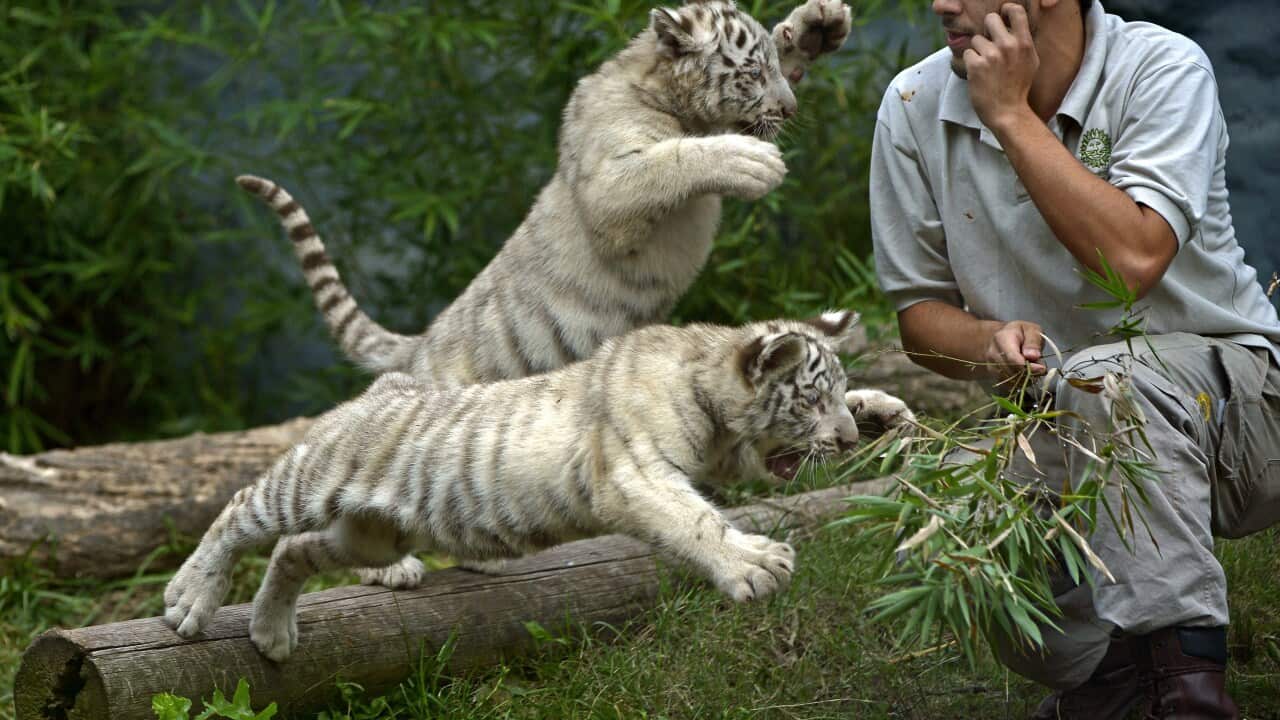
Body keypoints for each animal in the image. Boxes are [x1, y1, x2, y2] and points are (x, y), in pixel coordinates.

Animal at [162, 310, 915, 661]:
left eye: (835, 397)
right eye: (810, 400)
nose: (844, 438)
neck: (712, 402)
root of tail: (387, 386)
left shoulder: (726, 460)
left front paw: (884, 413)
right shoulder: (636, 474)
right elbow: (695, 520)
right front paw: (755, 566)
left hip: (372, 533)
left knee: (295, 551)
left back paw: (271, 632)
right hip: (312, 478)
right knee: (241, 510)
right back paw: (189, 600)